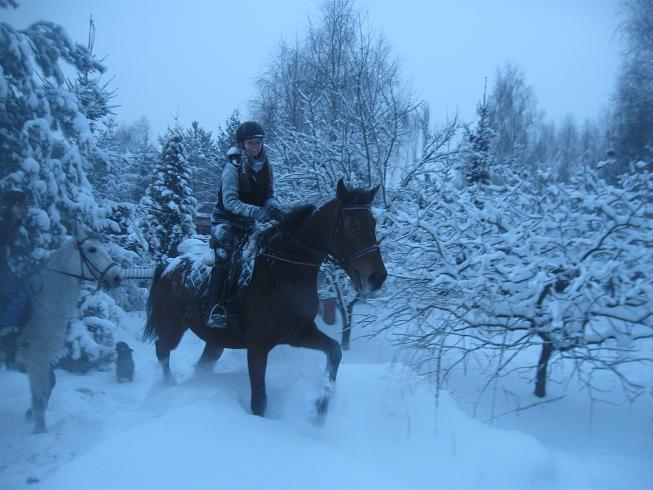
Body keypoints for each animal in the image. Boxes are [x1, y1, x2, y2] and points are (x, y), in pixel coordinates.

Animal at [9, 232, 122, 434]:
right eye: (92, 249)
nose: (117, 277)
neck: (42, 307)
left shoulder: (42, 361)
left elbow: (48, 386)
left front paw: (30, 415)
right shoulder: (36, 361)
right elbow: (39, 397)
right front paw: (40, 432)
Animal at [145, 180, 384, 418]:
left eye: (373, 222)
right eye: (353, 224)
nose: (378, 277)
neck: (283, 271)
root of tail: (166, 266)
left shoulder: (299, 333)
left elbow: (335, 351)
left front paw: (321, 406)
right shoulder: (257, 346)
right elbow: (259, 402)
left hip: (215, 341)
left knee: (200, 364)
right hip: (172, 328)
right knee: (162, 350)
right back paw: (168, 386)